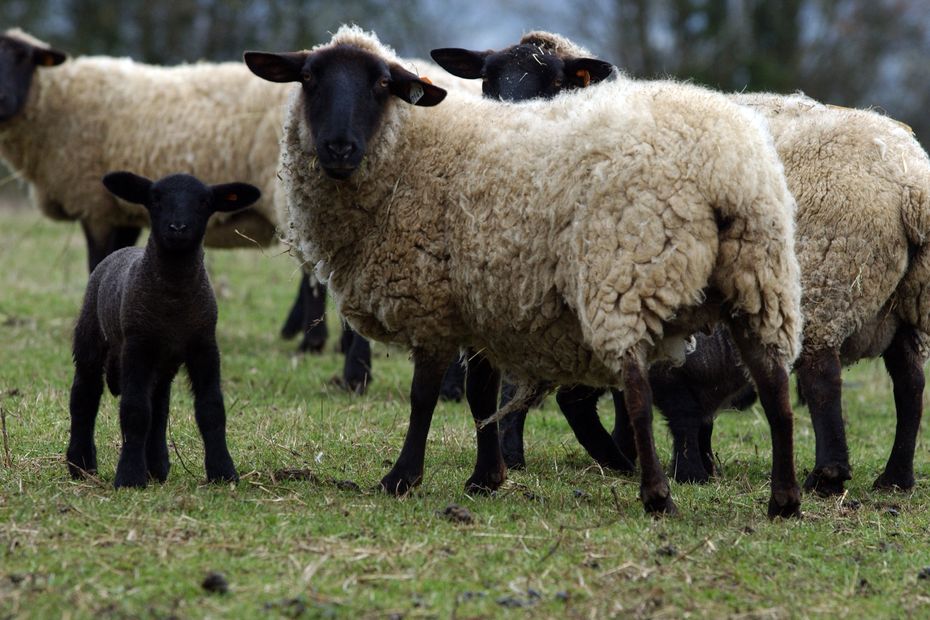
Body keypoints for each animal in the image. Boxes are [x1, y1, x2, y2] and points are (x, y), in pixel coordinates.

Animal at [246, 26, 804, 516]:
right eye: (308, 79)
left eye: (382, 84)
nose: (338, 148)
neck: (414, 154)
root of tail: (723, 169)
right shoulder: (480, 299)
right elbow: (480, 393)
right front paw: (485, 477)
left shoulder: (433, 303)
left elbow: (424, 396)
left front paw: (403, 477)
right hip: (759, 277)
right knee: (776, 388)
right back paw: (784, 500)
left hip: (625, 276)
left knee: (638, 393)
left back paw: (656, 495)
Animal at [450, 30, 928, 494]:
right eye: (487, 82)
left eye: (553, 84)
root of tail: (909, 180)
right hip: (906, 301)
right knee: (910, 384)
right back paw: (895, 479)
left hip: (830, 281)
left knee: (823, 376)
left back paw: (826, 477)